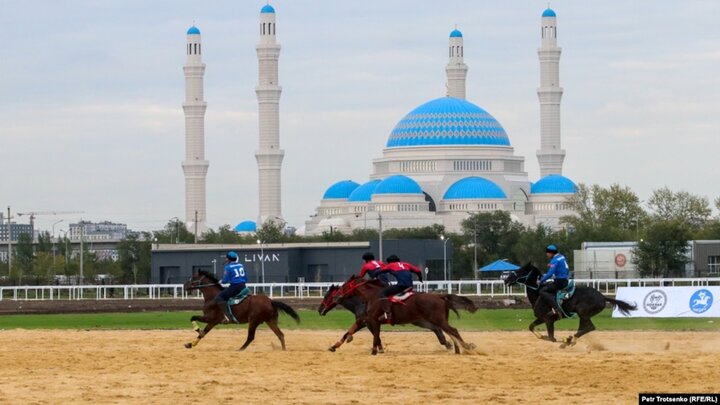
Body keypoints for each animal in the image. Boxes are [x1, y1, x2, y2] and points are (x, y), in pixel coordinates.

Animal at [320, 274, 478, 354]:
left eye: (327, 295)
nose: (320, 309)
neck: (369, 297)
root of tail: (440, 296)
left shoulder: (370, 321)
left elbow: (375, 336)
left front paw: (377, 350)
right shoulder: (363, 321)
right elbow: (349, 332)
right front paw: (334, 346)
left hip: (436, 319)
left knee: (452, 331)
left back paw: (464, 347)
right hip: (426, 320)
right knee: (445, 331)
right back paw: (455, 347)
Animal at [500, 262, 636, 348]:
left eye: (520, 270)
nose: (506, 279)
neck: (539, 294)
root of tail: (603, 296)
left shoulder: (549, 319)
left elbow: (551, 338)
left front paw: (563, 339)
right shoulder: (541, 318)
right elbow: (531, 327)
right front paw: (543, 336)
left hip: (583, 313)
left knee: (589, 327)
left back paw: (570, 340)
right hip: (584, 316)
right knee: (584, 328)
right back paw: (572, 340)